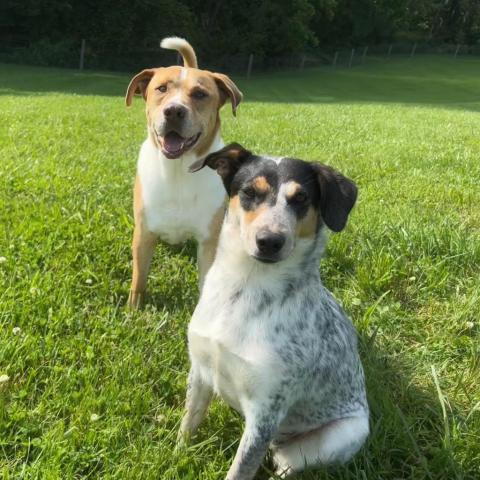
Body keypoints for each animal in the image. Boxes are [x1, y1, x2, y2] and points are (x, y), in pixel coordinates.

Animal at [124, 37, 242, 308]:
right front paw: (133, 310)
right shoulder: (144, 234)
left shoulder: (209, 241)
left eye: (200, 94)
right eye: (161, 88)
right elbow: (139, 278)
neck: (177, 173)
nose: (174, 111)